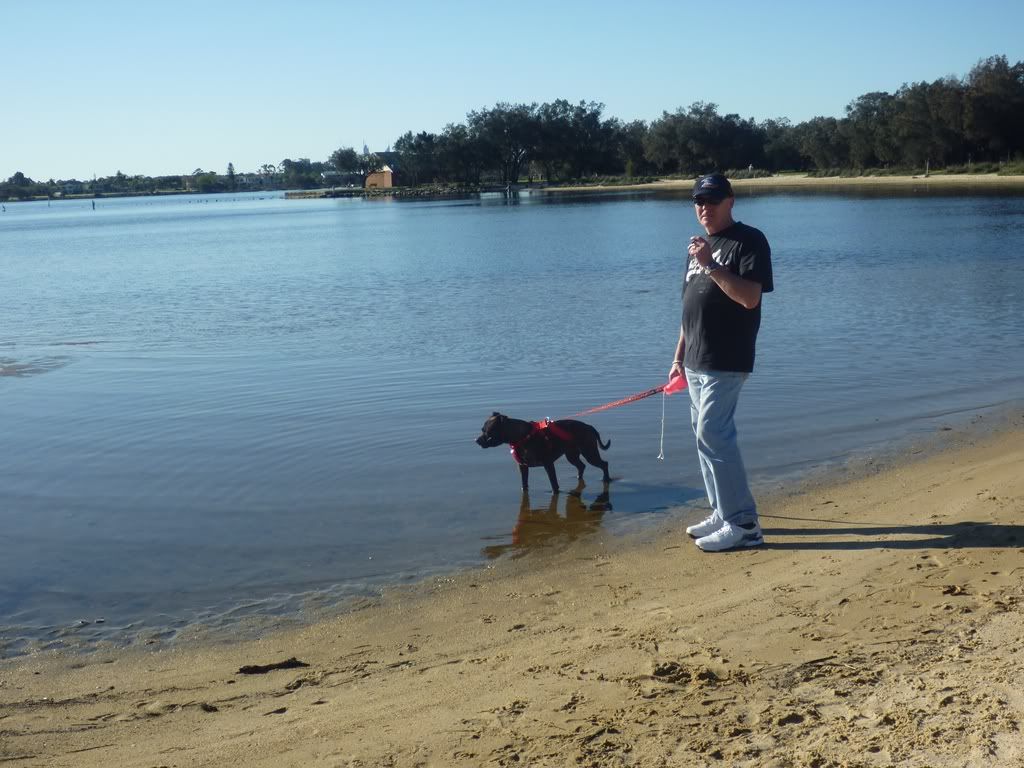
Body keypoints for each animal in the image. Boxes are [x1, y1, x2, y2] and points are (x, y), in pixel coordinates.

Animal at [475, 415, 610, 493]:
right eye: (482, 430)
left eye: (488, 432)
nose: (476, 440)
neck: (523, 437)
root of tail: (590, 427)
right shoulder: (522, 467)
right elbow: (524, 484)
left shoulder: (548, 464)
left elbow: (554, 484)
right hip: (571, 455)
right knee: (581, 466)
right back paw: (579, 477)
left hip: (589, 453)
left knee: (604, 464)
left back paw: (606, 479)